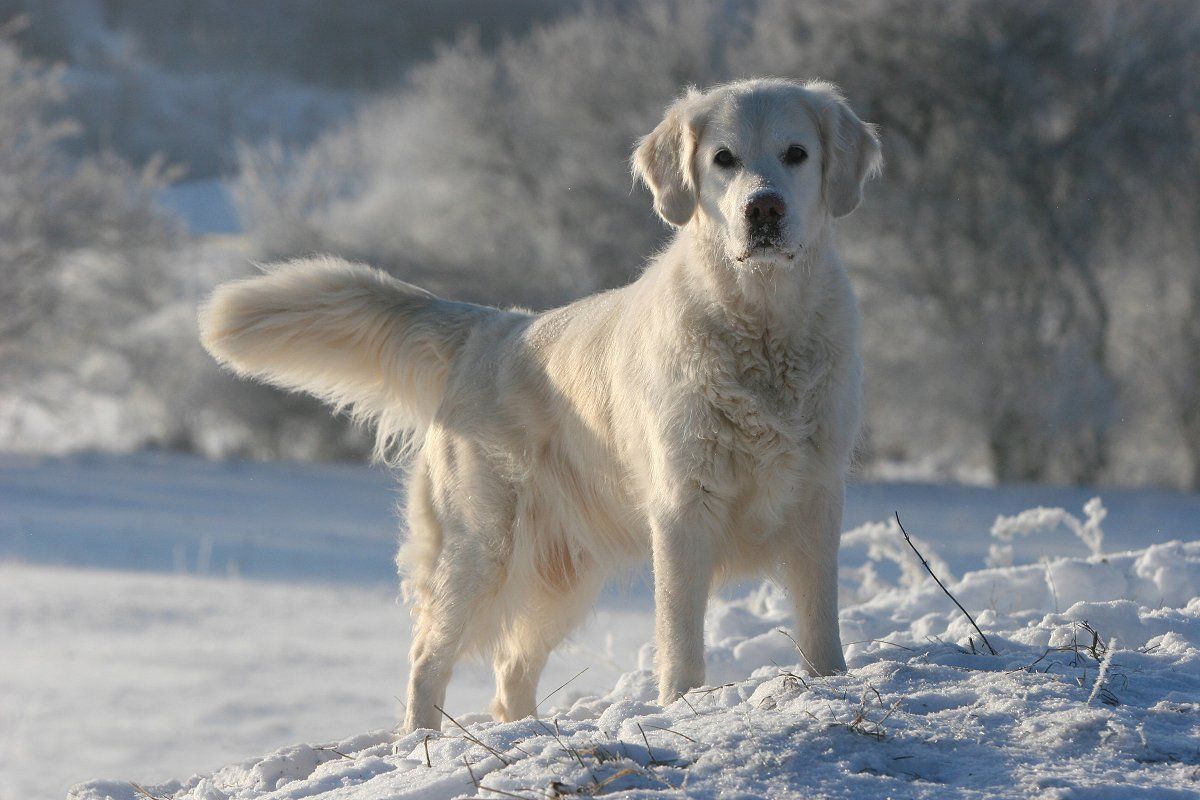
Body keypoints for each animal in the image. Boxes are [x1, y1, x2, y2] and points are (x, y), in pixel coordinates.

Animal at [199, 79, 883, 734]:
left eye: (796, 154)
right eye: (724, 159)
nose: (763, 208)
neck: (761, 327)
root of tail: (491, 325)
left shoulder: (817, 495)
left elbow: (821, 620)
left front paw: (830, 683)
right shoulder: (684, 506)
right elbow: (681, 637)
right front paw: (683, 705)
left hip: (560, 577)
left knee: (510, 671)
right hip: (480, 549)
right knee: (428, 659)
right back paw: (421, 742)